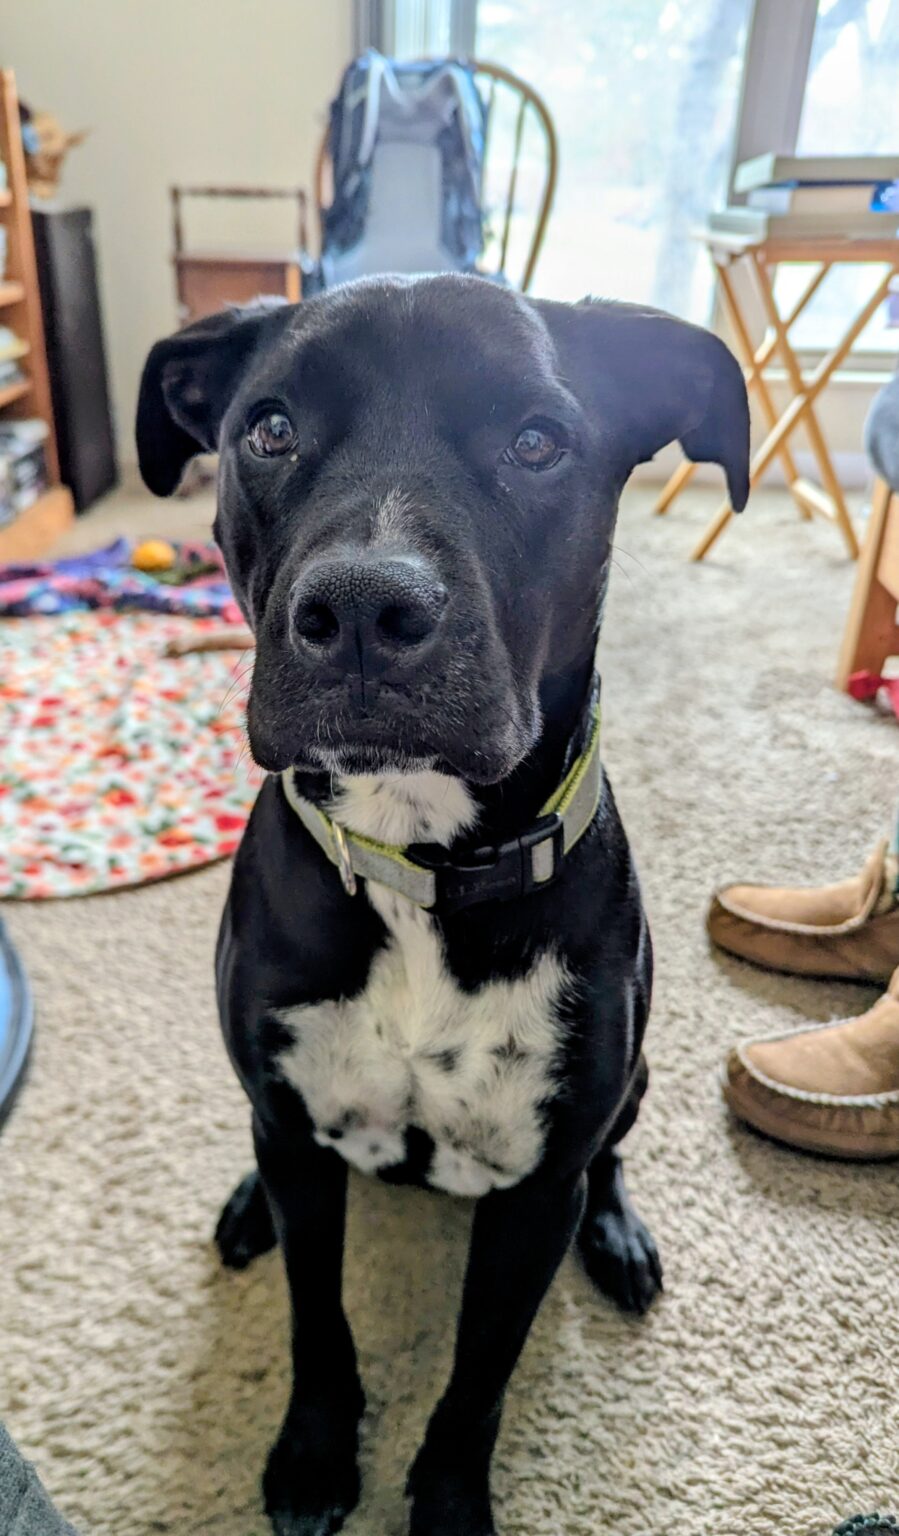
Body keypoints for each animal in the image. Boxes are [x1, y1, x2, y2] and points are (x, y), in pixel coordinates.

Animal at [137, 274, 749, 1536]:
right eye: (269, 428)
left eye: (537, 441)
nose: (363, 608)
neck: (416, 856)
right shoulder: (301, 1141)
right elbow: (316, 1321)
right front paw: (314, 1455)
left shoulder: (530, 1201)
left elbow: (479, 1373)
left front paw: (451, 1501)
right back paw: (246, 1206)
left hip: (628, 1088)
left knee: (609, 1159)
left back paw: (617, 1237)